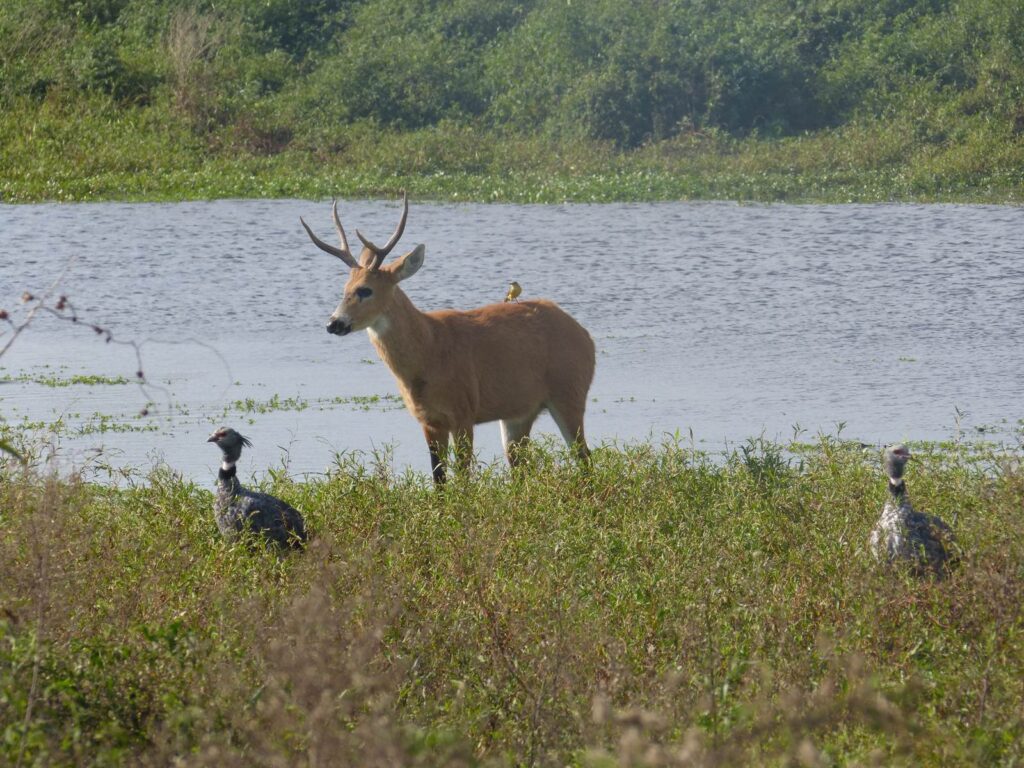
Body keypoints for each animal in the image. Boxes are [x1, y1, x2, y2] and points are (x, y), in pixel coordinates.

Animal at [299, 195, 598, 483]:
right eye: (345, 288)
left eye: (365, 290)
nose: (333, 323)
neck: (429, 351)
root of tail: (586, 336)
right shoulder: (430, 421)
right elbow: (439, 478)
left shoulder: (464, 412)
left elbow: (464, 476)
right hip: (519, 413)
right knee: (522, 467)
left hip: (569, 393)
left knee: (584, 457)